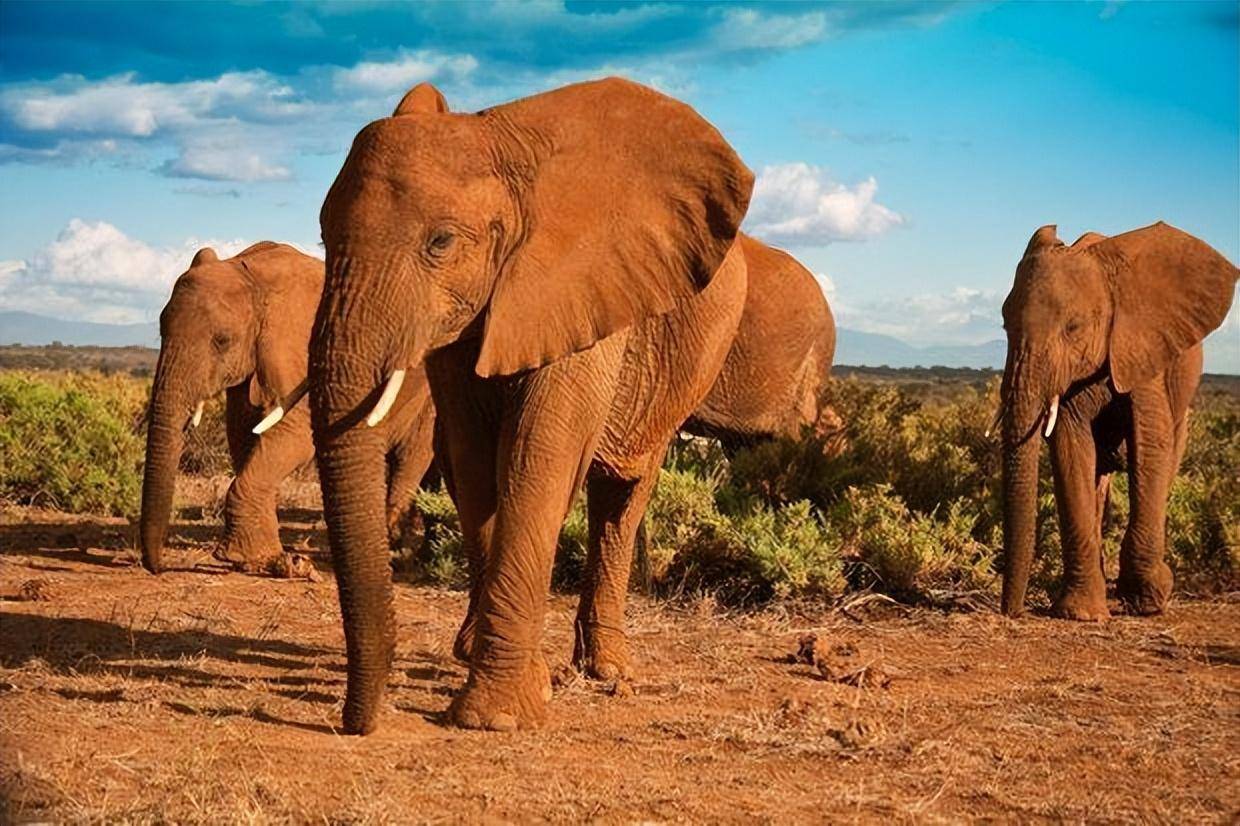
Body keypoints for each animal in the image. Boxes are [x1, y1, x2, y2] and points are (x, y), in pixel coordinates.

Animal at [138, 242, 437, 575]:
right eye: (160, 331)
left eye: (222, 341)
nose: (158, 566)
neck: (254, 276)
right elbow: (243, 436)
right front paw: (263, 559)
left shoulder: (302, 349)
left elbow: (295, 435)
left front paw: (247, 558)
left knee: (412, 457)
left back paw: (398, 554)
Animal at [309, 77, 753, 734]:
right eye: (322, 237)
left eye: (441, 242)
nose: (354, 723)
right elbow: (473, 463)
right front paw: (512, 678)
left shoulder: (579, 290)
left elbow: (539, 456)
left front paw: (494, 716)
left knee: (622, 493)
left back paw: (607, 670)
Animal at [998, 222, 1237, 620]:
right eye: (1004, 324)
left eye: (1073, 327)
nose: (1011, 611)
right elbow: (1070, 446)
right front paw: (1081, 614)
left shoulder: (1142, 346)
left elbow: (1150, 443)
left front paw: (1149, 599)